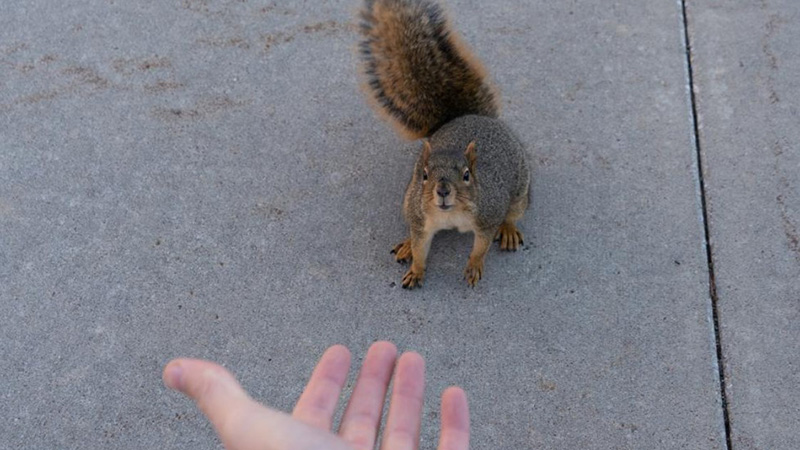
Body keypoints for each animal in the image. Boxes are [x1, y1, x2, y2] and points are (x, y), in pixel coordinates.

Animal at [358, 0, 530, 289]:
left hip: (520, 188)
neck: (450, 215)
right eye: (425, 174)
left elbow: (481, 245)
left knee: (513, 212)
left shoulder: (488, 214)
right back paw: (406, 244)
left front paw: (474, 266)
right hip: (409, 201)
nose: (442, 190)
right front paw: (416, 268)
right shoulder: (422, 219)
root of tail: (470, 116)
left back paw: (508, 230)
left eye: (467, 175)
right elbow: (421, 246)